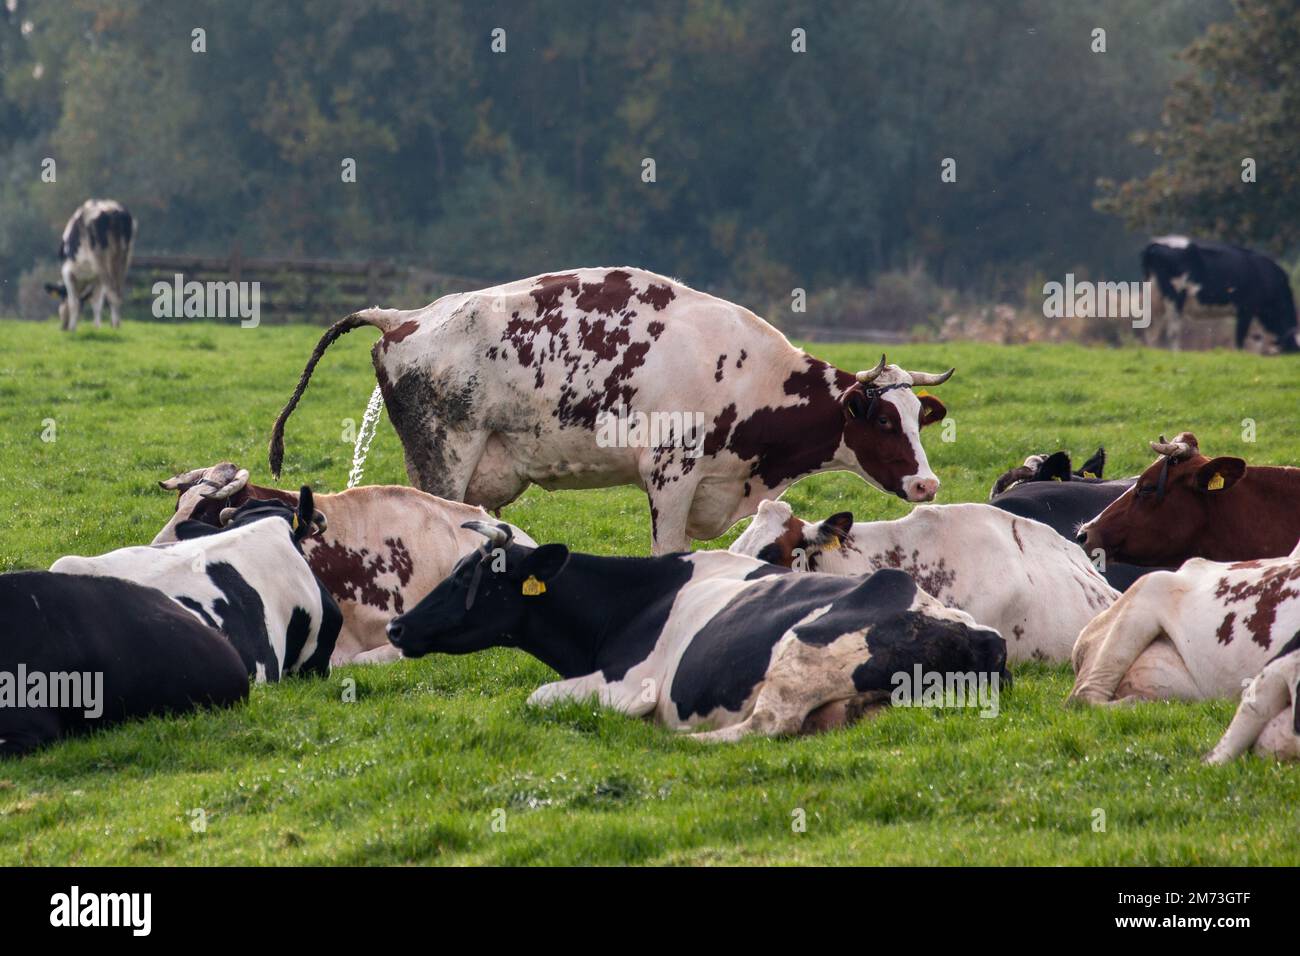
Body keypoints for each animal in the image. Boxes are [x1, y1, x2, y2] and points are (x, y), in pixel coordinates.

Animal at [43, 199, 135, 332]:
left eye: (61, 298)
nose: (63, 327)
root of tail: (112, 211)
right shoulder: (96, 279)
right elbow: (96, 303)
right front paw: (96, 328)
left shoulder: (67, 272)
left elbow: (74, 302)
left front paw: (73, 329)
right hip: (123, 259)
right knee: (118, 293)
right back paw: (116, 325)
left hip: (101, 261)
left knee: (112, 293)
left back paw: (115, 326)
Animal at [267, 267, 955, 554]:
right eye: (883, 420)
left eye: (918, 419)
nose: (927, 483)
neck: (745, 375)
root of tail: (406, 317)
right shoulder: (670, 477)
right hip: (444, 461)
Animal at [385, 522, 1009, 742]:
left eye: (469, 576)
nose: (396, 624)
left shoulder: (627, 684)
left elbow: (537, 697)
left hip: (797, 658)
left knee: (767, 726)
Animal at [1142, 236, 1299, 353]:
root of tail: (1155, 244)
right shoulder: (1246, 309)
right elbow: (1240, 336)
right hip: (1175, 297)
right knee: (1172, 331)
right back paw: (1176, 353)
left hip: (1155, 300)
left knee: (1152, 332)